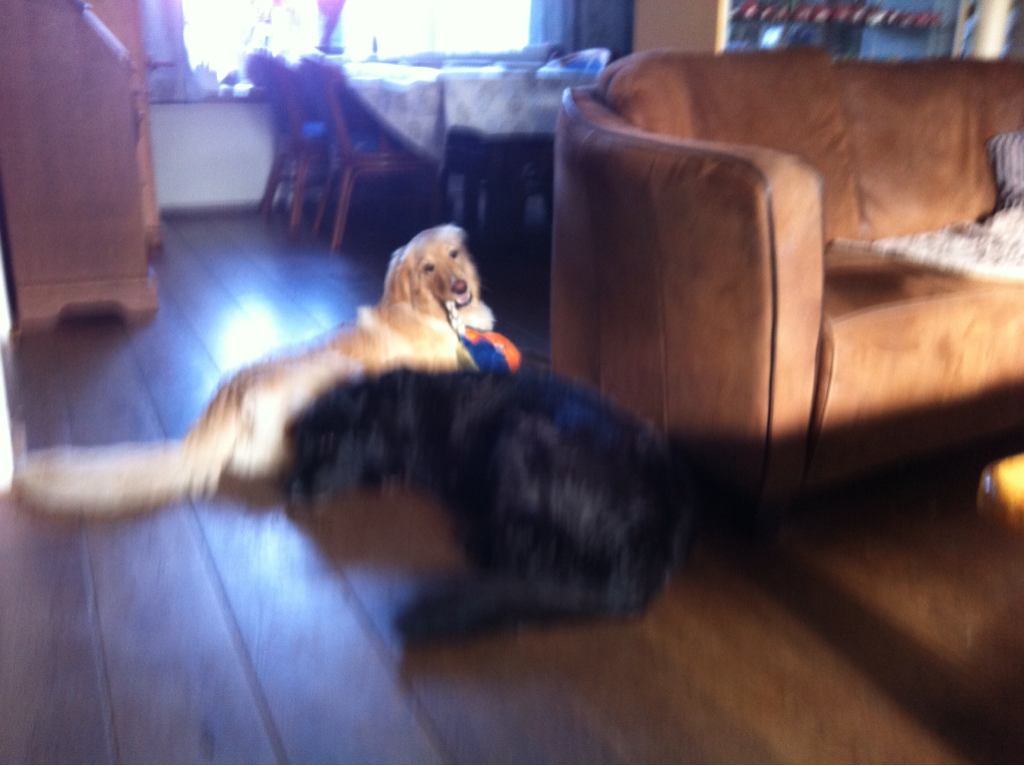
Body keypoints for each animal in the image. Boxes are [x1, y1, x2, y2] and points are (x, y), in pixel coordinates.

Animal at [288, 369, 698, 640]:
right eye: (298, 448)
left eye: (328, 442)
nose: (289, 487)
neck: (399, 408)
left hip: (522, 431)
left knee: (537, 555)